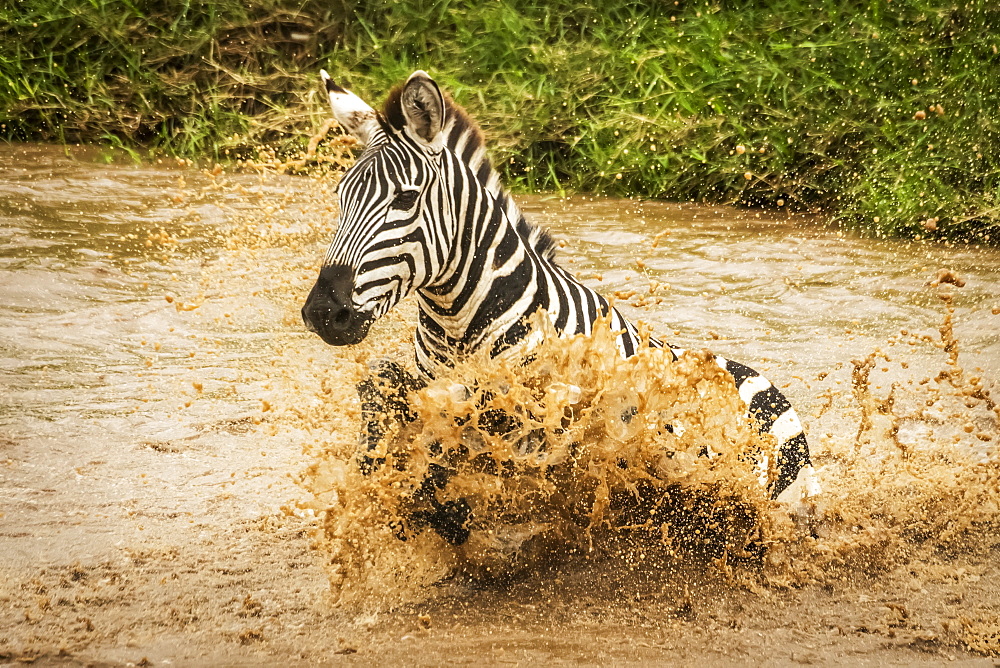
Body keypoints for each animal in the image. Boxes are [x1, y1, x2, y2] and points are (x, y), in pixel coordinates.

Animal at [300, 70, 816, 544]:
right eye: (340, 196)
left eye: (406, 198)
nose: (324, 311)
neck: (459, 323)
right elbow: (384, 390)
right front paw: (400, 483)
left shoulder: (550, 418)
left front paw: (442, 503)